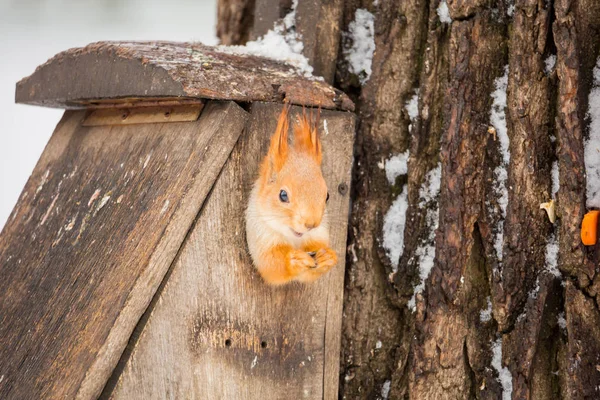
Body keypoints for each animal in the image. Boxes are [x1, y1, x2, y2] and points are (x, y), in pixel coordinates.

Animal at [245, 104, 338, 284]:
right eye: (283, 195)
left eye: (327, 196)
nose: (311, 224)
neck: (293, 238)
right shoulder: (260, 235)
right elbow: (271, 267)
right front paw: (294, 260)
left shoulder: (318, 234)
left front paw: (327, 257)